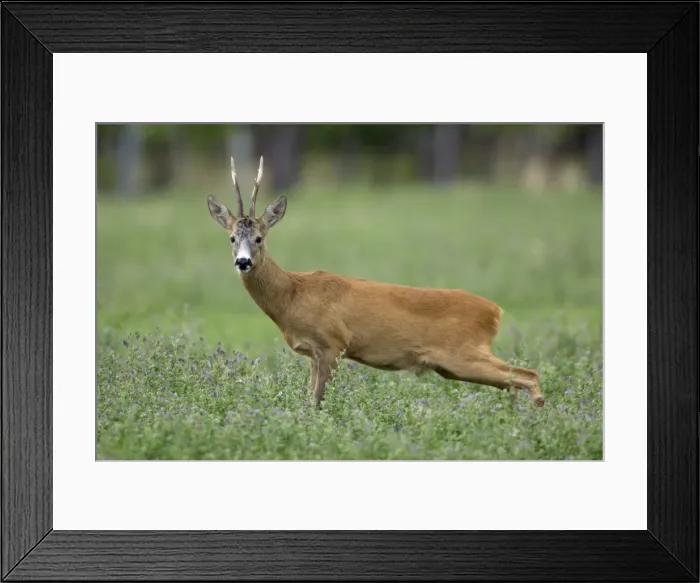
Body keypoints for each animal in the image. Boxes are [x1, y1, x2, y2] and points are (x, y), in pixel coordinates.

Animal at [206, 156, 545, 409]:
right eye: (232, 238)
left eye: (259, 238)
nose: (243, 262)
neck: (292, 295)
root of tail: (495, 311)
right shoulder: (315, 353)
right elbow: (308, 401)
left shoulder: (333, 343)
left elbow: (317, 403)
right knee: (516, 381)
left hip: (463, 353)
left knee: (529, 375)